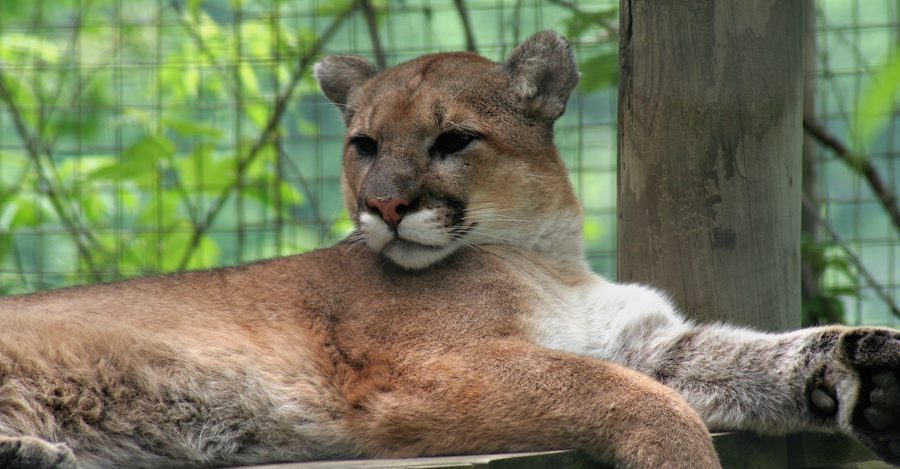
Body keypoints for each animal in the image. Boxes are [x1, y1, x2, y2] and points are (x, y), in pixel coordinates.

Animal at [0, 31, 897, 469]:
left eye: (453, 139)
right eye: (363, 144)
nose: (387, 204)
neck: (546, 252)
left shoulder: (646, 341)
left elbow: (742, 358)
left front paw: (862, 370)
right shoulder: (426, 368)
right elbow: (633, 397)